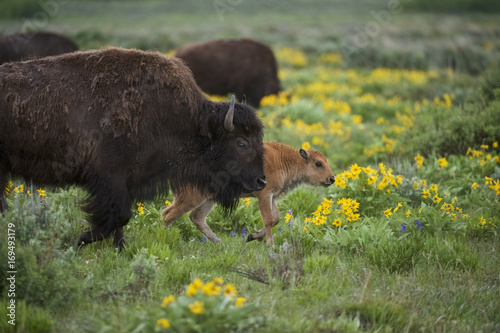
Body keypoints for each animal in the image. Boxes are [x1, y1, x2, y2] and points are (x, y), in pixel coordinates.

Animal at [162, 141, 334, 245]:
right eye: (318, 163)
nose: (331, 179)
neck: (286, 159)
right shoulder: (264, 195)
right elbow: (269, 220)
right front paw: (270, 244)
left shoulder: (272, 197)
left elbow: (276, 218)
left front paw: (252, 236)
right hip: (191, 198)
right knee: (169, 215)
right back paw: (167, 238)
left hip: (209, 200)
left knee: (195, 217)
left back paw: (220, 243)